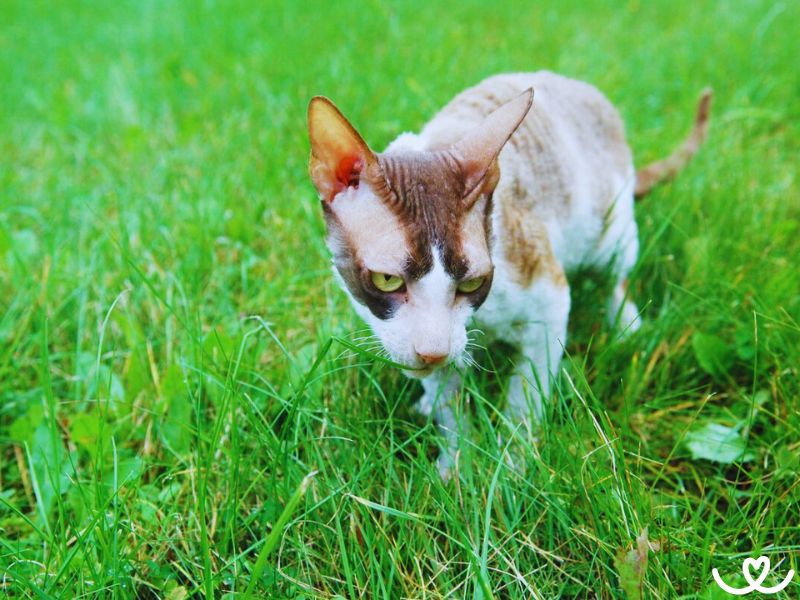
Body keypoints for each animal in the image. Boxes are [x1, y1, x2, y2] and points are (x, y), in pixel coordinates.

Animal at [306, 72, 712, 478]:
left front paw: (512, 468)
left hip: (611, 232)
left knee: (614, 277)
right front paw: (456, 465)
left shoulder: (548, 301)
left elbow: (524, 401)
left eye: (472, 282)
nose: (434, 354)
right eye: (387, 280)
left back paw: (627, 325)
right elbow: (448, 403)